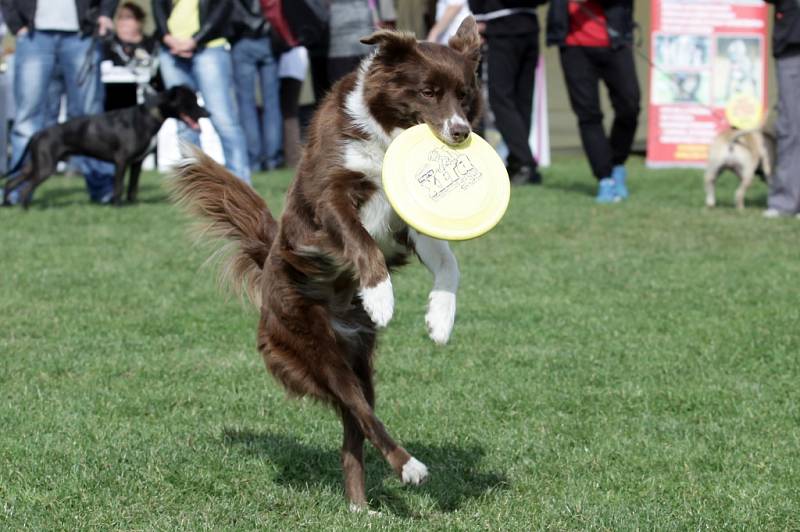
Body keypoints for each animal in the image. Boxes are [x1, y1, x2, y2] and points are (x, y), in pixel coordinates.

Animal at [3, 85, 208, 208]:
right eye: (190, 101)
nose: (207, 112)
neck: (147, 117)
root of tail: (38, 133)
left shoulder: (137, 162)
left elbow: (133, 187)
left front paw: (133, 204)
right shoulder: (121, 160)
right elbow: (118, 186)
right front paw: (118, 206)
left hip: (35, 165)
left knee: (11, 182)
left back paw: (6, 204)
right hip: (45, 167)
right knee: (25, 188)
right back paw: (25, 209)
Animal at [170, 17, 482, 512]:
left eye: (466, 95)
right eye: (428, 92)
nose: (460, 132)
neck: (386, 137)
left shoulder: (407, 220)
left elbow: (449, 262)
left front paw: (440, 320)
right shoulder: (329, 195)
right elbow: (360, 240)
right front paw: (380, 296)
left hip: (359, 361)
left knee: (355, 429)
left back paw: (360, 507)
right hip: (314, 352)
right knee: (360, 412)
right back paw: (408, 467)